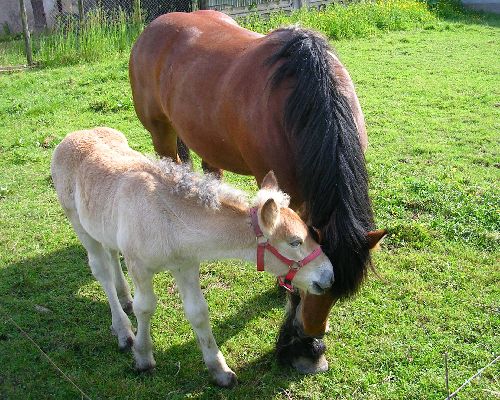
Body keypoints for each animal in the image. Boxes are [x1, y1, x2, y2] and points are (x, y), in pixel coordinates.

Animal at [50, 128, 334, 388]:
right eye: (295, 242)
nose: (329, 276)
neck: (170, 219)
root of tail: (73, 136)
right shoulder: (138, 265)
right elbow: (146, 307)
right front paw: (142, 358)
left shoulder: (186, 264)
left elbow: (198, 312)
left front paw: (220, 371)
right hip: (78, 222)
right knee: (102, 271)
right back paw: (123, 330)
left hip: (104, 225)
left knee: (111, 254)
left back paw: (124, 298)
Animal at [130, 10, 386, 376]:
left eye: (340, 291)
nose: (313, 334)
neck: (301, 101)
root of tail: (154, 26)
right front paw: (300, 348)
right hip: (161, 132)